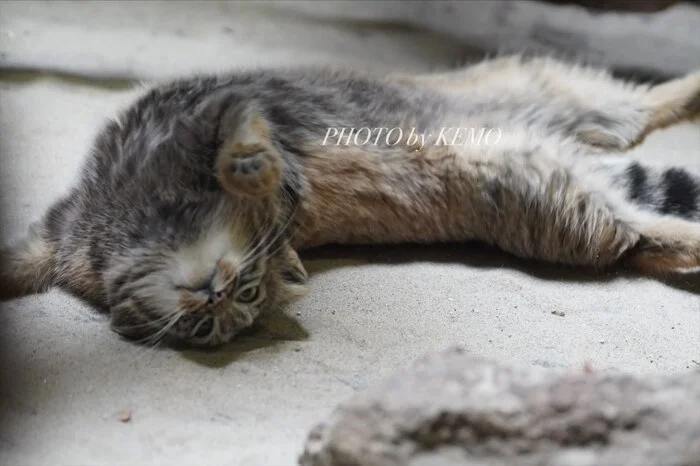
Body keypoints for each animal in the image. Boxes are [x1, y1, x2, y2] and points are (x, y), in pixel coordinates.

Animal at [1, 55, 700, 346]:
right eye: (203, 332)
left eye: (247, 293)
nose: (220, 300)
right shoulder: (64, 236)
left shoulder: (213, 109)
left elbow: (248, 159)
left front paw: (255, 182)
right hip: (564, 206)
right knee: (644, 232)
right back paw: (681, 239)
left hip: (557, 97)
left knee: (644, 102)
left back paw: (686, 86)